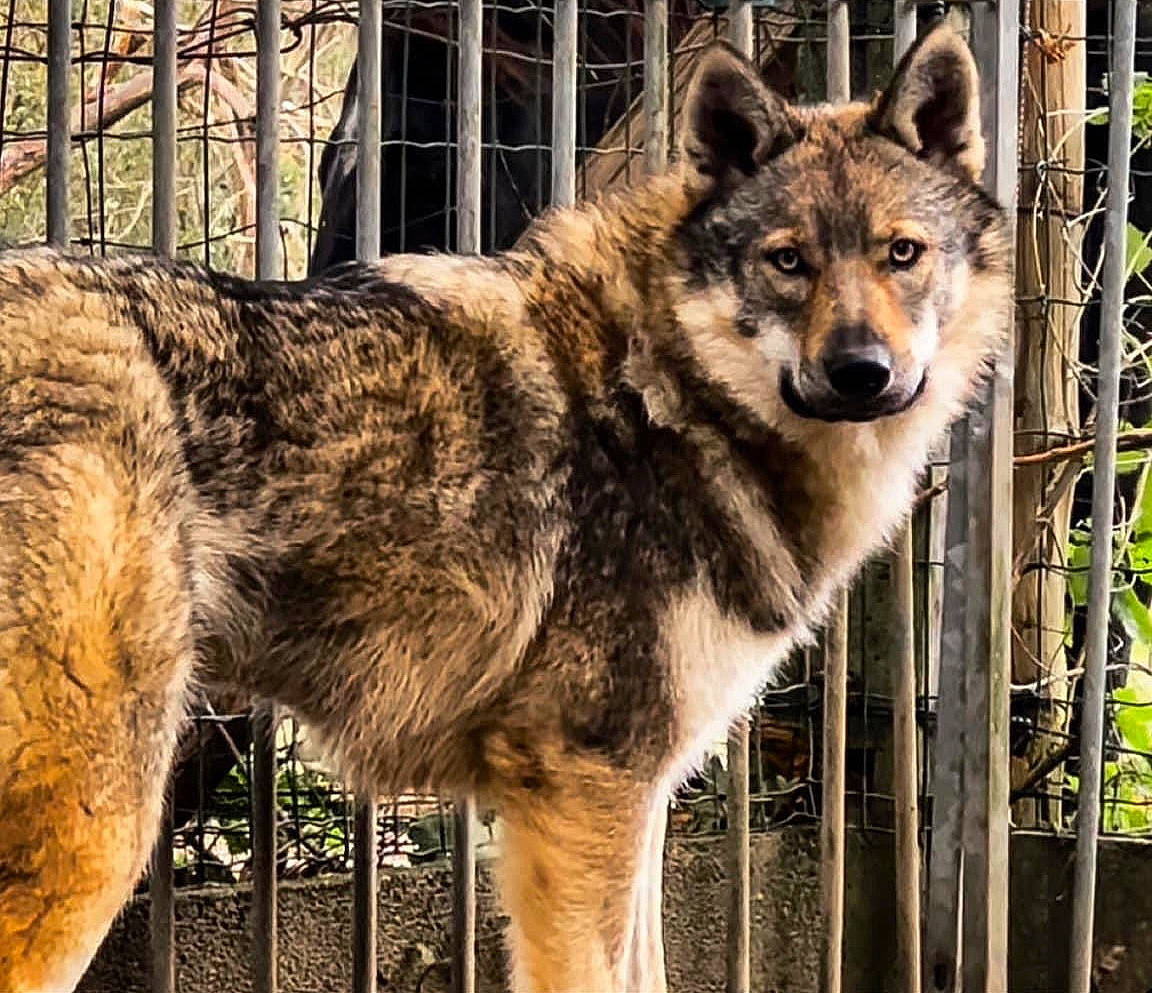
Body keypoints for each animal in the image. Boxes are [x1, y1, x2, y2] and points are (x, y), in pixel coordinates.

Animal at [0, 23, 1010, 993]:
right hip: (101, 824)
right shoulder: (582, 786)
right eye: (788, 261)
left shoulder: (635, 791)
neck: (667, 393)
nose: (862, 371)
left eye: (902, 253)